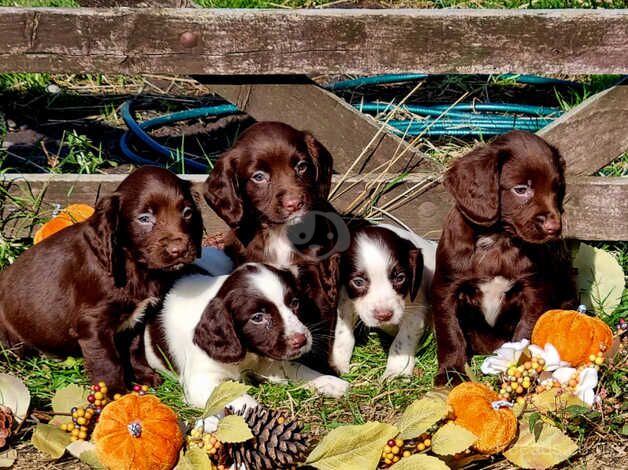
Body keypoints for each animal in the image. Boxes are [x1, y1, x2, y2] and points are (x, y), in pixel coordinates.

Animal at [0, 167, 201, 392]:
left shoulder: (137, 319)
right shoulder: (93, 324)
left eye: (187, 212)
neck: (132, 266)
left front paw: (143, 375)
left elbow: (135, 348)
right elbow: (108, 361)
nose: (179, 250)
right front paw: (114, 393)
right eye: (144, 218)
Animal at [145, 262, 350, 410]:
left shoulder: (268, 361)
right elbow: (237, 398)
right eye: (257, 317)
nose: (302, 340)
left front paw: (329, 382)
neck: (248, 353)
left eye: (295, 303)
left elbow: (296, 368)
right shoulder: (200, 382)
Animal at [328, 223, 436, 378]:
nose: (384, 316)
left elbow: (402, 341)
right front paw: (337, 362)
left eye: (400, 278)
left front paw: (396, 372)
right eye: (358, 282)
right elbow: (343, 332)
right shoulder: (346, 300)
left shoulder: (415, 309)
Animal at [434, 131, 576, 386]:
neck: (498, 240)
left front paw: (517, 371)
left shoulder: (534, 291)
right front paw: (451, 373)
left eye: (557, 189)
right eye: (521, 189)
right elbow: (450, 333)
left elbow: (524, 333)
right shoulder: (446, 289)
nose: (554, 228)